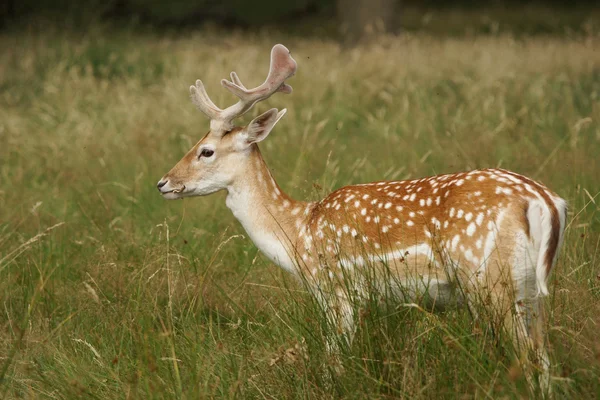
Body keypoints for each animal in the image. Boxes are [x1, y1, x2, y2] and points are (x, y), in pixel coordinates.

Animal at [156, 43, 568, 394]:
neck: (300, 234)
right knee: (546, 361)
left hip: (489, 279)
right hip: (530, 289)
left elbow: (333, 363)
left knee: (529, 358)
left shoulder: (336, 289)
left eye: (206, 151)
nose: (163, 183)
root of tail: (546, 201)